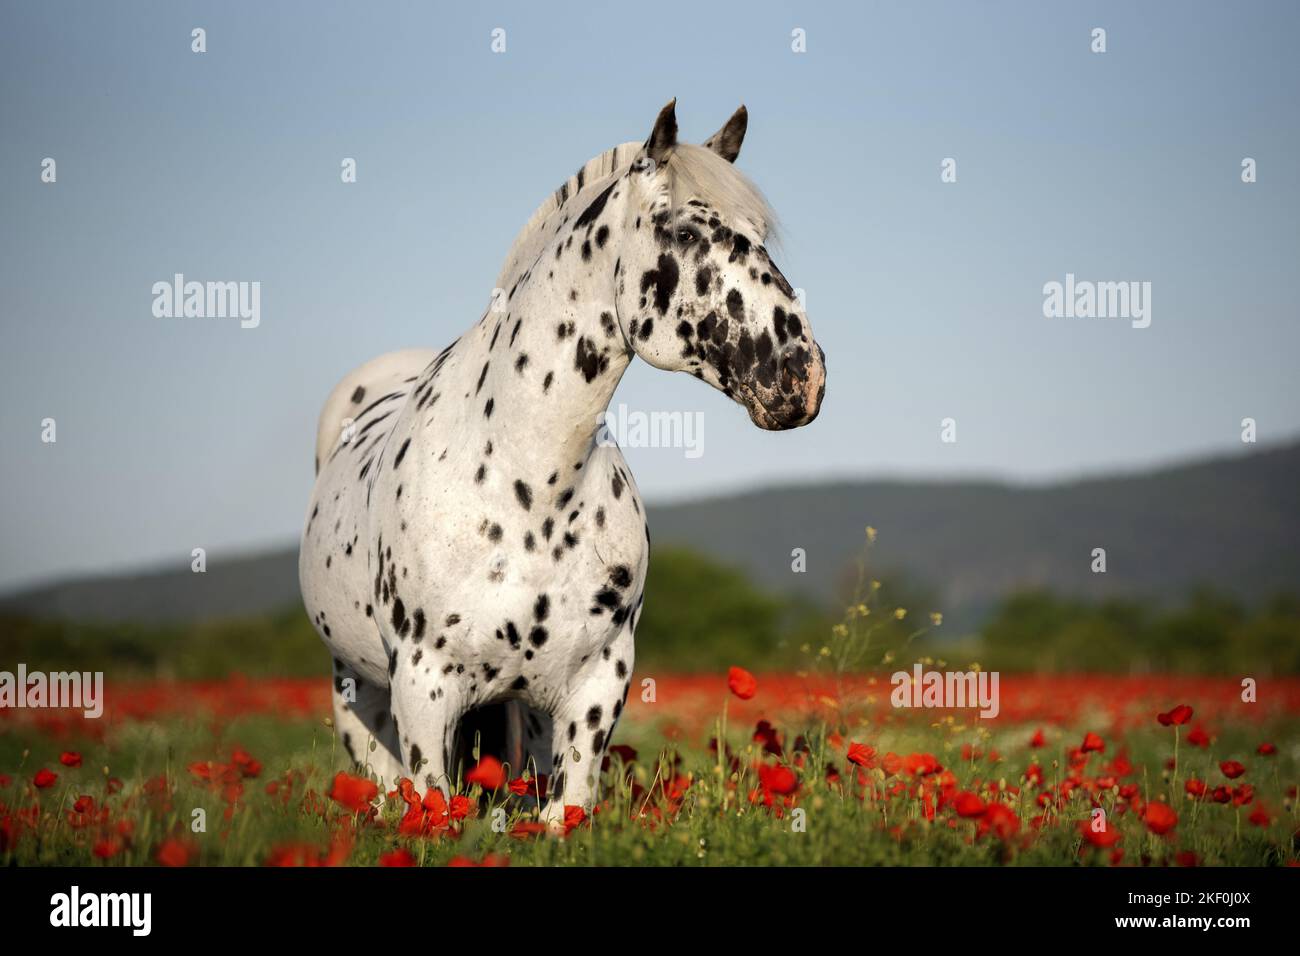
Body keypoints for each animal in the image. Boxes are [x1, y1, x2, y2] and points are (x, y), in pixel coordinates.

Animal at [299, 100, 825, 826]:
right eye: (687, 229)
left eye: (760, 232)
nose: (803, 379)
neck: (529, 486)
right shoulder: (423, 689)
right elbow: (432, 807)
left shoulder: (595, 683)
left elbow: (564, 811)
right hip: (360, 698)